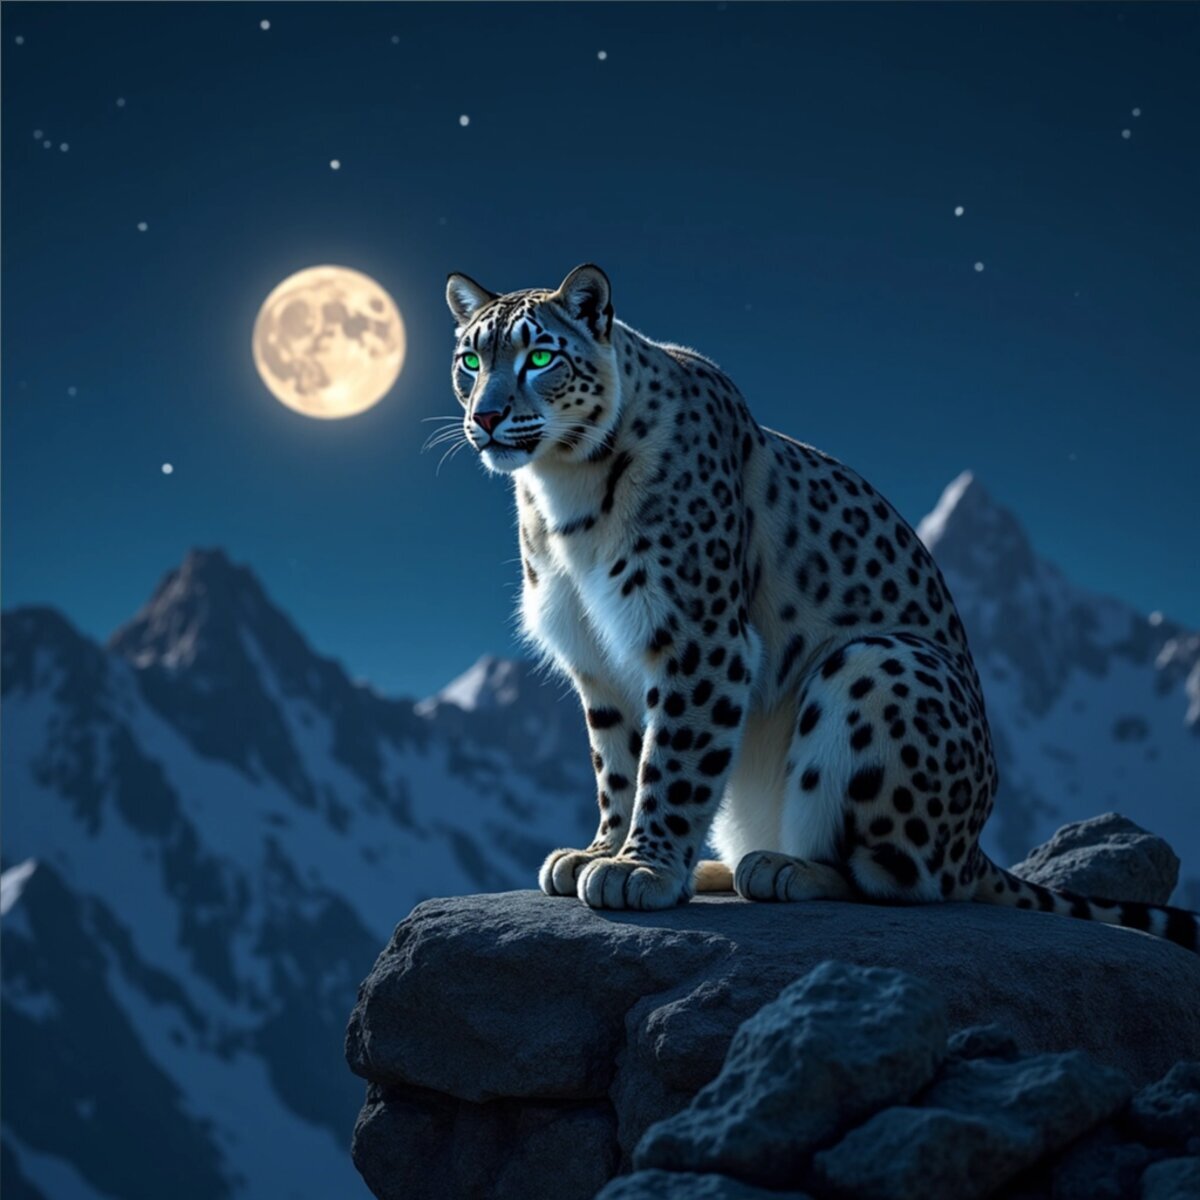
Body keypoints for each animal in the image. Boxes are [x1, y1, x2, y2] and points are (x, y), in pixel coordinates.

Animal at [443, 263, 1199, 953]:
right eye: (470, 361)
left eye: (541, 356)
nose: (485, 416)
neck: (561, 497)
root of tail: (975, 841)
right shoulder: (597, 659)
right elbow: (618, 765)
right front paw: (601, 852)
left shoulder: (698, 638)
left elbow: (674, 762)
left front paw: (641, 868)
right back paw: (716, 866)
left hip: (879, 666)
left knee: (904, 876)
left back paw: (778, 868)